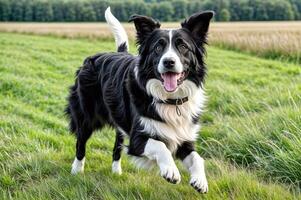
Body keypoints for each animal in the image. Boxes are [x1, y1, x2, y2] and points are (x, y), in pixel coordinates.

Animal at [66, 7, 213, 193]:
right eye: (158, 47)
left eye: (183, 46)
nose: (169, 62)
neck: (169, 100)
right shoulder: (138, 139)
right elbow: (161, 146)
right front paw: (171, 170)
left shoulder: (183, 136)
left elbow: (197, 158)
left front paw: (200, 180)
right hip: (86, 116)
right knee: (80, 143)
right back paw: (76, 171)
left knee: (117, 145)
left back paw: (116, 171)